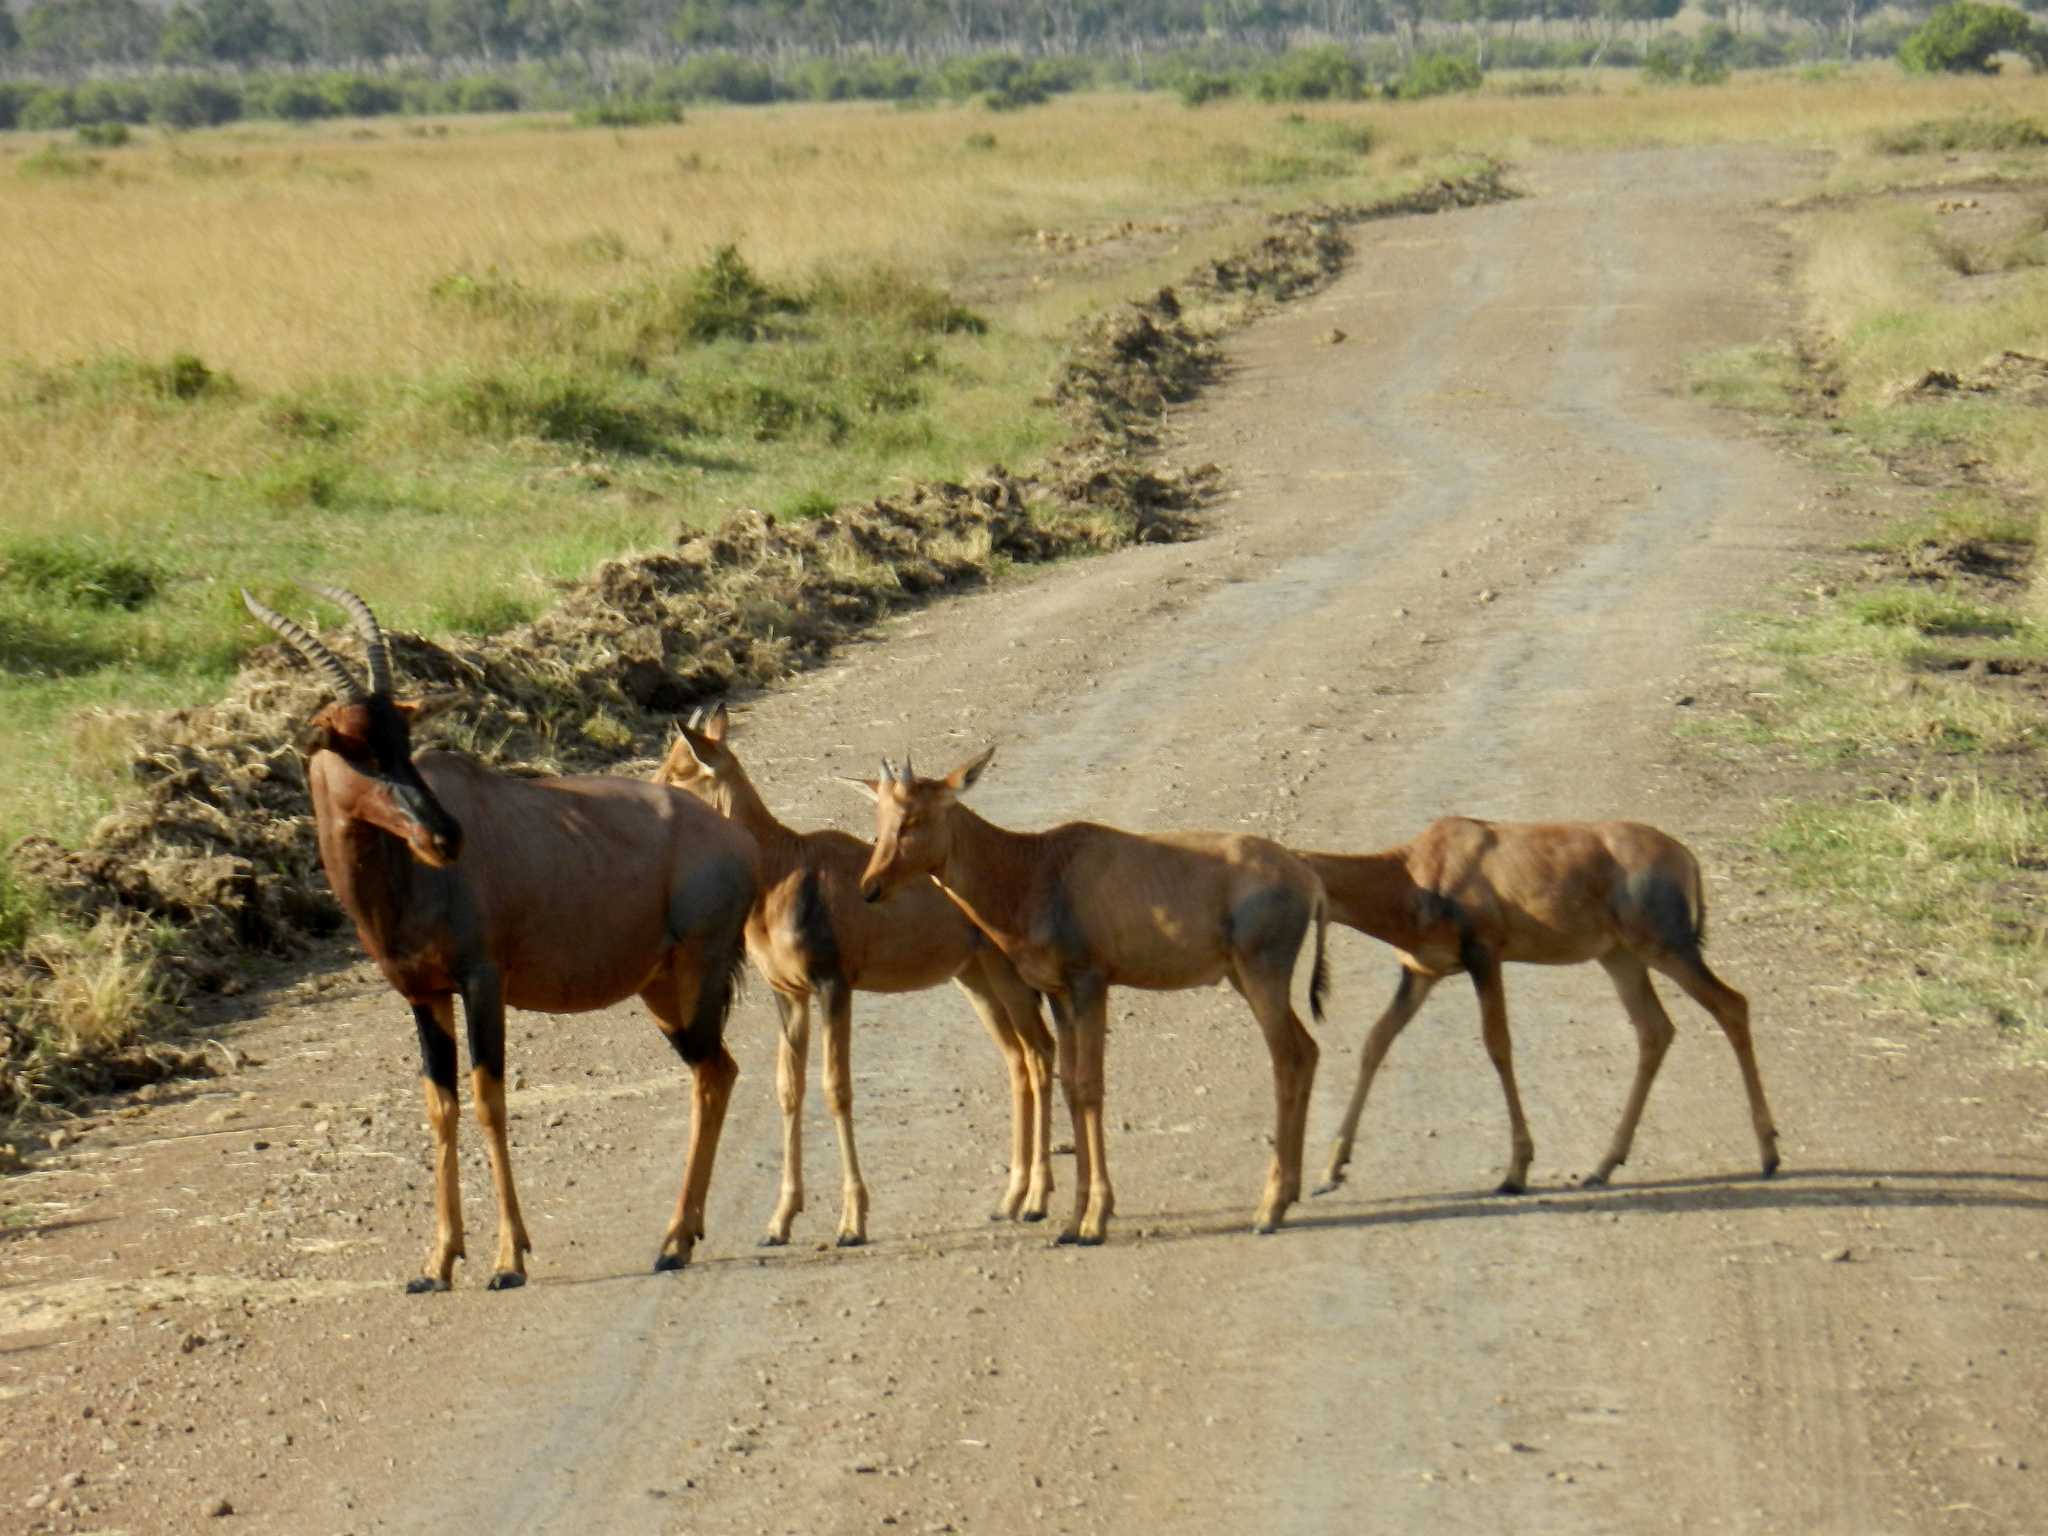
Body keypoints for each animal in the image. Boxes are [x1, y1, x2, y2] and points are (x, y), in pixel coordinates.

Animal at [245, 581, 761, 1294]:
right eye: (352, 745)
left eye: (403, 735)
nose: (445, 836)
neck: (405, 878)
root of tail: (736, 841)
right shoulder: (423, 995)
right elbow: (441, 1105)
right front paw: (435, 1264)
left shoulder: (482, 982)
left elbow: (490, 1099)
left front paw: (507, 1261)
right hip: (660, 991)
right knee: (719, 1069)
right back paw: (681, 1237)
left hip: (697, 972)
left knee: (712, 1074)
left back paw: (672, 1244)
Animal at [655, 708, 1056, 1253]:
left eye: (678, 773)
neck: (785, 866)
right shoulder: (789, 996)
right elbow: (789, 1089)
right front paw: (779, 1223)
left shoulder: (834, 986)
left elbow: (836, 1087)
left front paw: (851, 1223)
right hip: (974, 980)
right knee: (1017, 1059)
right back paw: (1010, 1200)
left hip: (1004, 975)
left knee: (1039, 1053)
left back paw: (1036, 1199)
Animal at [847, 753, 1327, 1245]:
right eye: (880, 817)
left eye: (914, 818)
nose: (870, 888)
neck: (1036, 868)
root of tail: (1307, 878)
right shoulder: (1061, 995)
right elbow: (1073, 1086)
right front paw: (1073, 1222)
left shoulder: (1091, 984)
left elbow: (1092, 1086)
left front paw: (1094, 1221)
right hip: (1243, 977)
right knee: (1307, 1051)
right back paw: (1286, 1197)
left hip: (1262, 974)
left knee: (1288, 1058)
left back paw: (1269, 1211)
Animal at [1310, 819, 1777, 1204]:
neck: (1422, 865)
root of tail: (1684, 857)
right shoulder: (1421, 976)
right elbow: (1376, 1042)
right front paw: (1330, 1172)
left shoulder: (1485, 958)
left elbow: (1498, 1046)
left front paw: (1515, 1174)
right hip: (1620, 957)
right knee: (1655, 1029)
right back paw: (1602, 1167)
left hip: (1666, 949)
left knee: (1732, 1006)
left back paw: (1769, 1155)